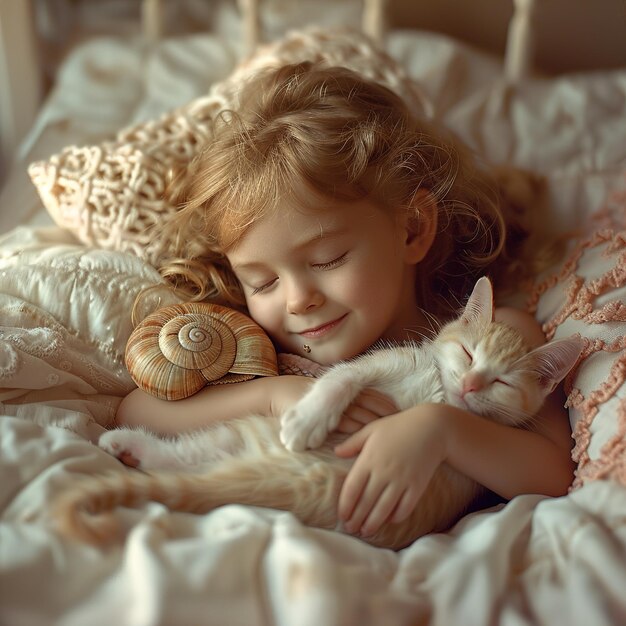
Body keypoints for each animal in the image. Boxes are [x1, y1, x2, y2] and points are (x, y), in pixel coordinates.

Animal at [53, 276, 580, 544]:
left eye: (502, 382)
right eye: (469, 354)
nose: (470, 385)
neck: (435, 388)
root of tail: (284, 486)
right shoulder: (385, 361)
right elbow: (342, 376)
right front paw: (310, 417)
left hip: (237, 442)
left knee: (182, 460)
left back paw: (131, 449)